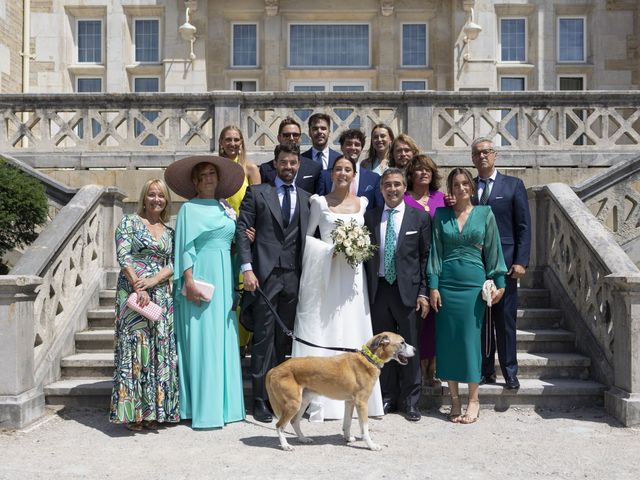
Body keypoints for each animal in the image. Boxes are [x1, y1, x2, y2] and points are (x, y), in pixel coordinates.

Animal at [264, 332, 416, 452]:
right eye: (402, 342)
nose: (415, 349)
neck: (368, 359)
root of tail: (274, 369)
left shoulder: (349, 402)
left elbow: (347, 423)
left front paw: (347, 438)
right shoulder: (361, 403)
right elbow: (365, 428)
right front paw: (371, 445)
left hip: (303, 401)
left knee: (294, 421)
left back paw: (303, 439)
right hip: (293, 403)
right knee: (279, 426)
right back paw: (285, 445)